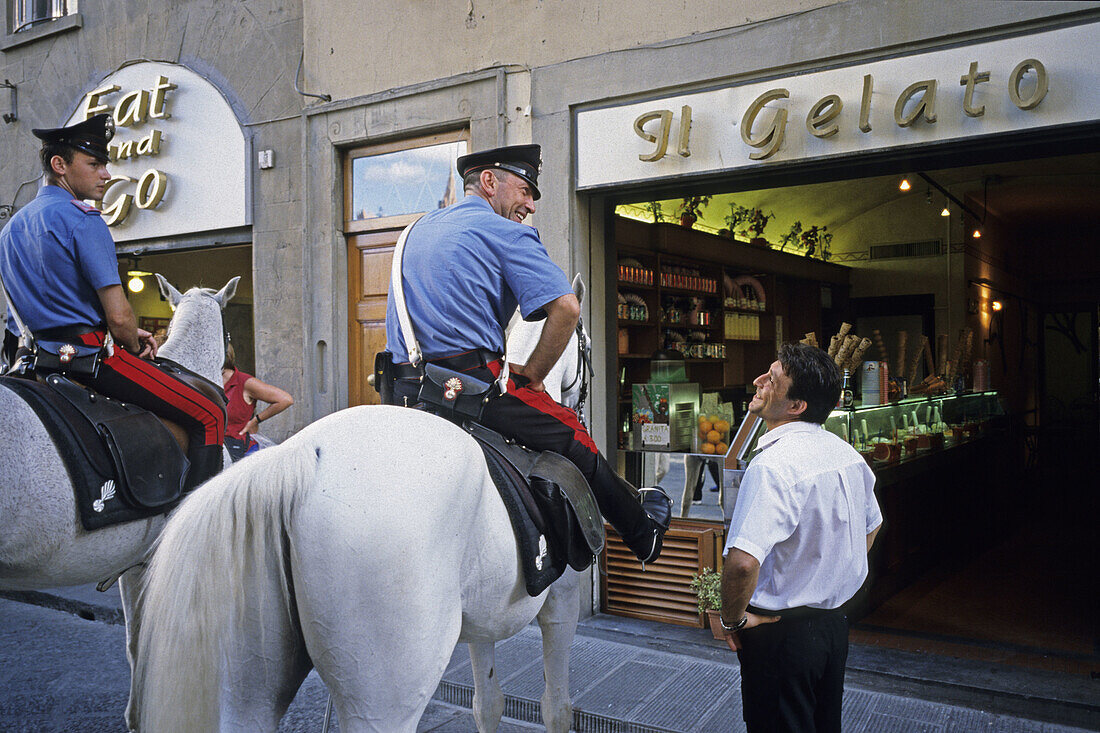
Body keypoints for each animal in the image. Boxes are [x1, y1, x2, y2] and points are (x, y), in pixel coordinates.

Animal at [136, 277, 598, 726]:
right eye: (588, 343)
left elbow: (488, 704)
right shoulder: (561, 603)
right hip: (384, 695)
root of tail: (298, 459)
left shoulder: (484, 620)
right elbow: (556, 706)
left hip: (248, 687)